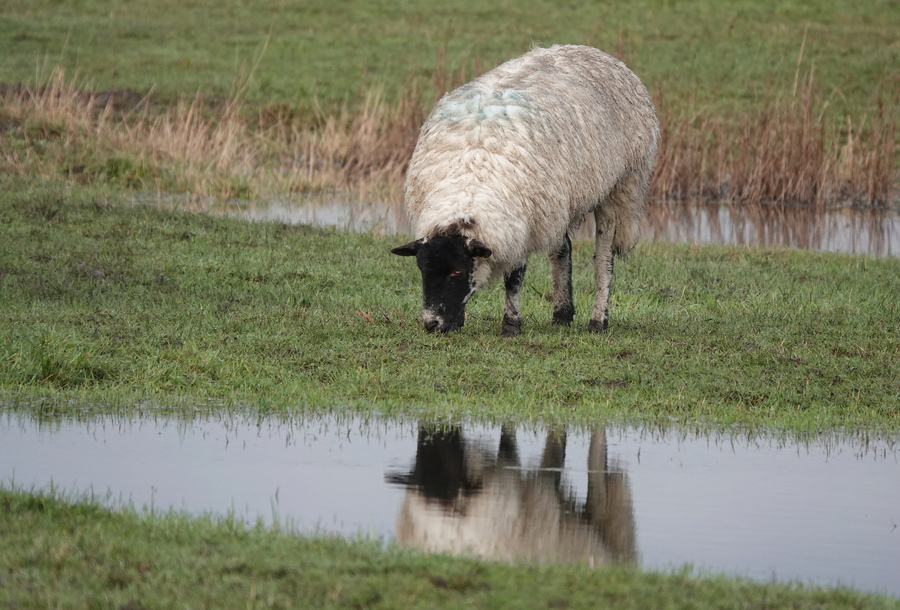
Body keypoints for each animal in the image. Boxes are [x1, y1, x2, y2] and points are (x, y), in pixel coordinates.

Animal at [390, 44, 656, 338]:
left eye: (457, 272)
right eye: (421, 269)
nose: (432, 324)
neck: (469, 181)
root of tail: (595, 52)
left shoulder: (519, 227)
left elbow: (513, 278)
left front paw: (510, 325)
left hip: (620, 185)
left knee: (604, 260)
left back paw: (598, 321)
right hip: (555, 202)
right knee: (562, 250)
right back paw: (562, 314)